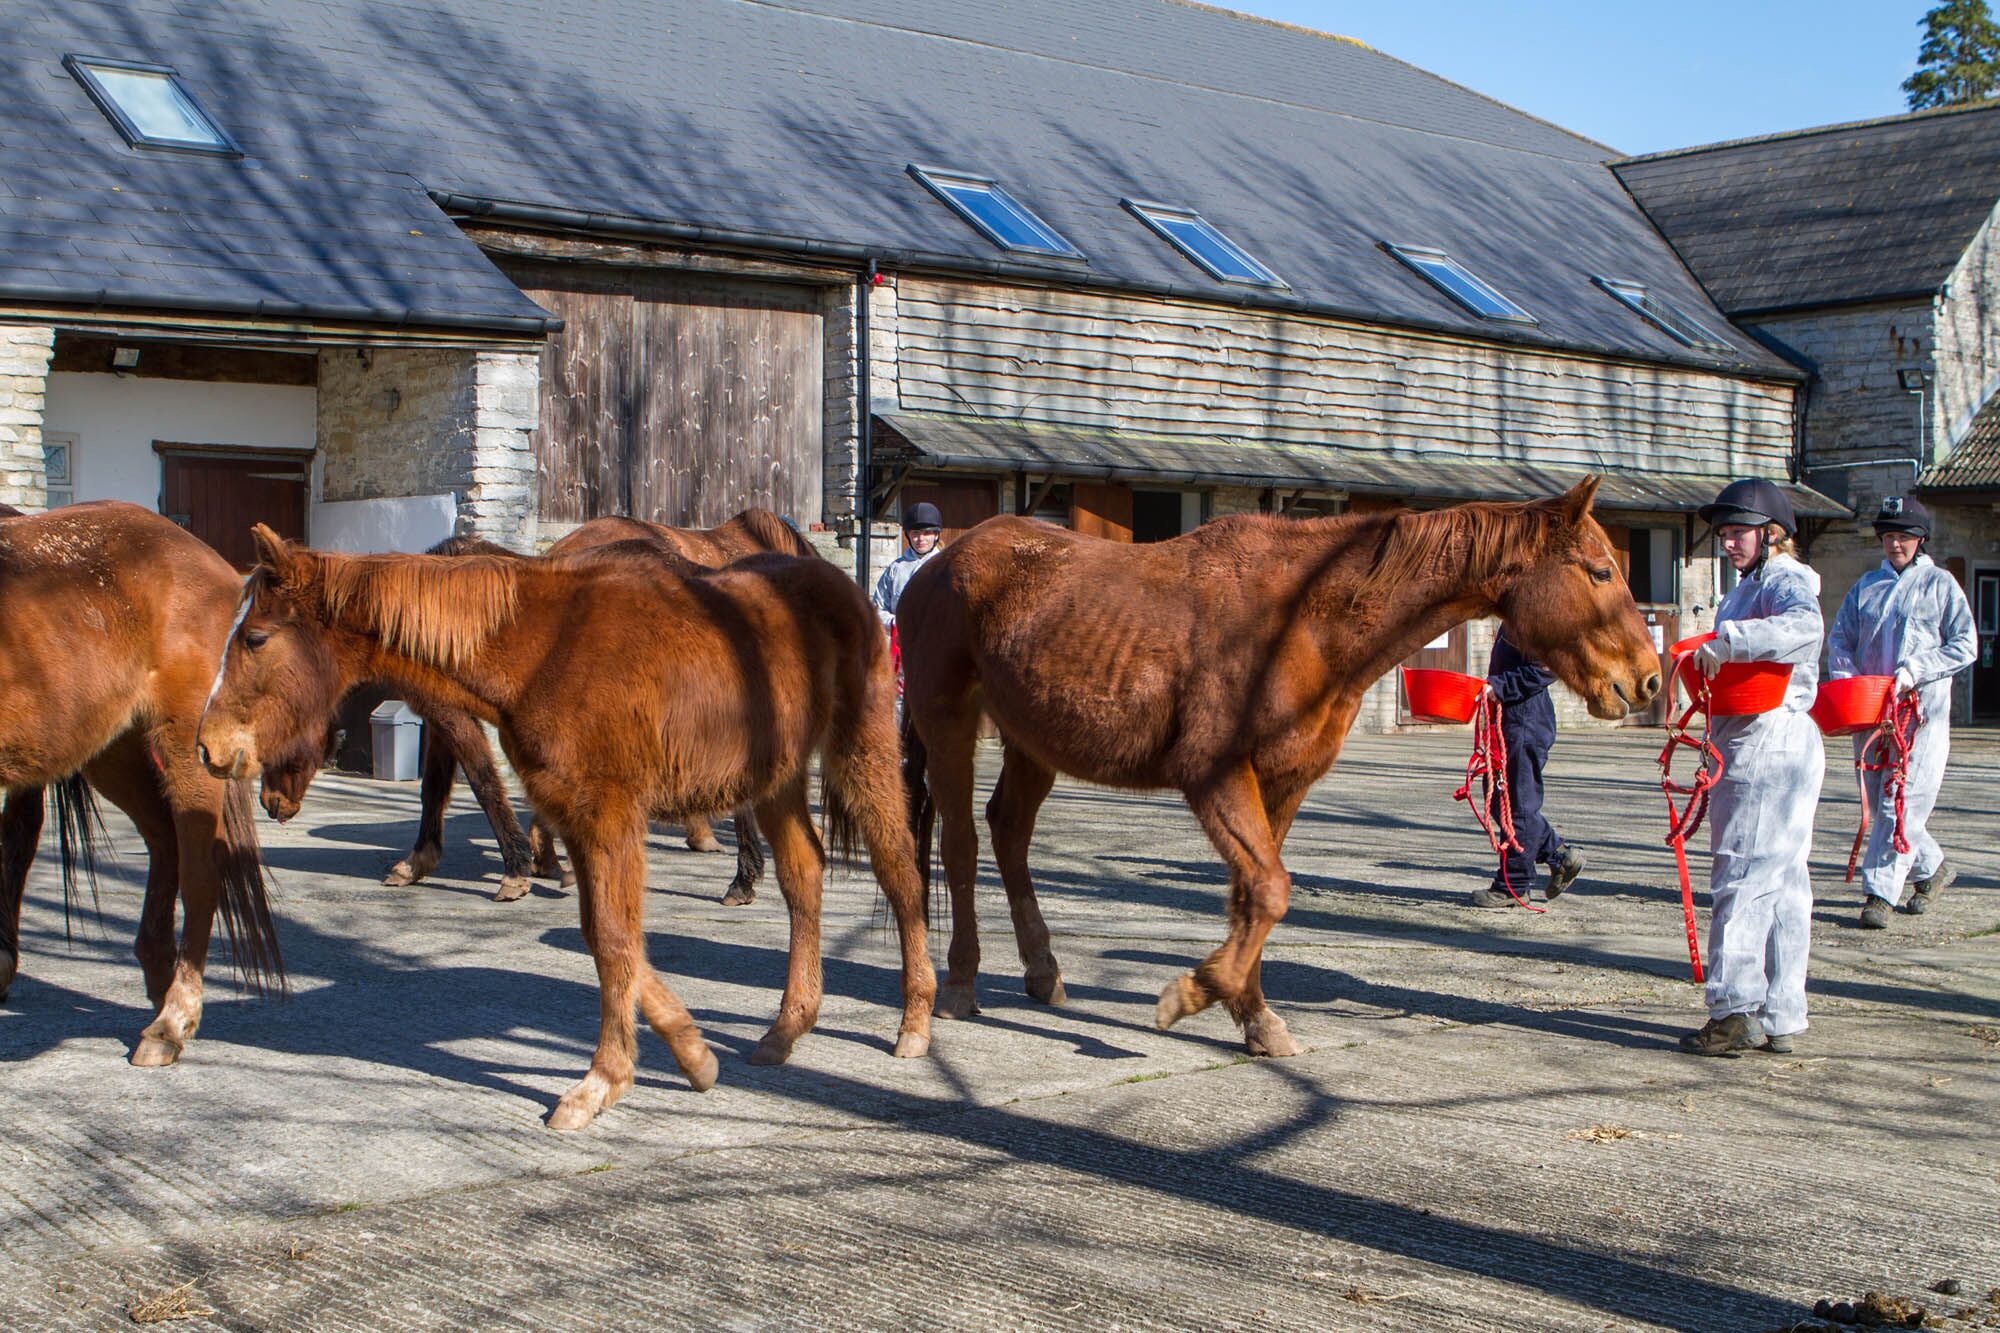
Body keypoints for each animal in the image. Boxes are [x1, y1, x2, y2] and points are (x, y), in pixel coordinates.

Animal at [0, 501, 283, 1063]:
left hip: (188, 748)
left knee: (199, 871)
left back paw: (171, 1022)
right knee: (163, 841)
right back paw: (159, 981)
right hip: (115, 750)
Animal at [259, 511, 816, 905]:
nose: (271, 804)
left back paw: (740, 876)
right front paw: (420, 861)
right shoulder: (443, 715)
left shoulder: (454, 714)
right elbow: (435, 787)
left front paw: (517, 868)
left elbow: (483, 782)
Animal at [897, 476, 1661, 1057]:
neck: (1303, 619)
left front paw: (1252, 1014)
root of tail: (934, 567)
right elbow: (1268, 891)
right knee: (961, 845)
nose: (1647, 679)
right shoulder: (1215, 775)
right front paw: (1192, 994)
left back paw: (1043, 971)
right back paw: (958, 984)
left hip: (1034, 742)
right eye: (1599, 571)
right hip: (949, 725)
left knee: (1009, 832)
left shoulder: (1282, 786)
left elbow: (1256, 898)